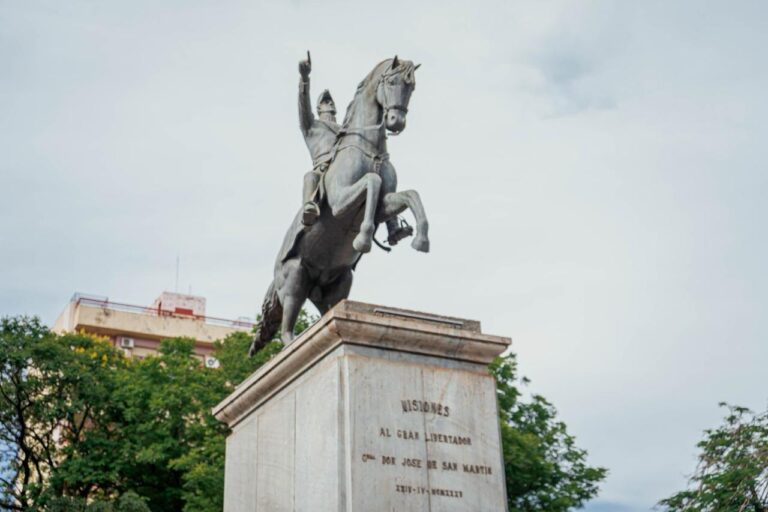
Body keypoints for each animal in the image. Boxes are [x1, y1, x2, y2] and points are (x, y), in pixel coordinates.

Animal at [248, 55, 428, 352]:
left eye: (411, 87)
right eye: (392, 82)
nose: (396, 121)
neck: (369, 149)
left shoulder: (383, 206)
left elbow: (411, 194)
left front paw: (420, 239)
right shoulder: (342, 202)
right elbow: (372, 181)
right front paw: (363, 239)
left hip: (340, 282)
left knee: (328, 310)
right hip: (294, 277)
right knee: (286, 327)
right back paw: (292, 343)